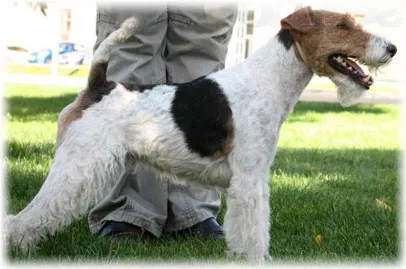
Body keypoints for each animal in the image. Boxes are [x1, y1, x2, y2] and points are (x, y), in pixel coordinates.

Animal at [3, 6, 396, 262]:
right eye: (343, 25)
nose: (392, 48)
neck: (268, 81)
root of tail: (98, 86)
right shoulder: (249, 180)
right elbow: (254, 231)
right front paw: (254, 259)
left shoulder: (252, 178)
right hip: (79, 165)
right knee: (28, 215)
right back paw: (21, 247)